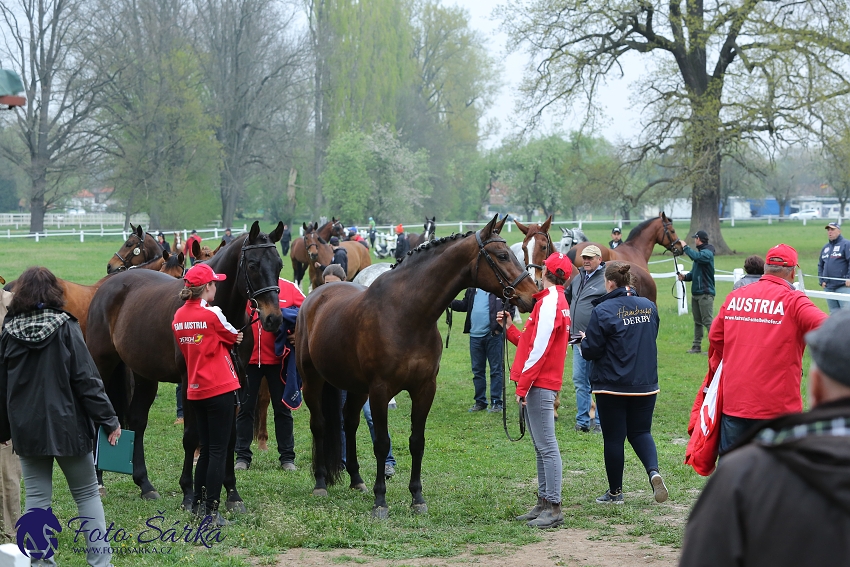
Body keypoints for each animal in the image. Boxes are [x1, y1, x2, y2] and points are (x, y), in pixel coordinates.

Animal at [86, 222, 284, 510]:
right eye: (253, 265)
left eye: (279, 265)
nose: (273, 319)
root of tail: (108, 285)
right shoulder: (191, 381)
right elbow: (192, 436)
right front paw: (189, 494)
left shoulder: (237, 382)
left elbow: (229, 436)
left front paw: (232, 494)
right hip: (103, 365)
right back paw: (98, 481)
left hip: (144, 375)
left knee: (137, 420)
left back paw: (145, 484)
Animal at [296, 214, 536, 520]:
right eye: (503, 255)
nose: (533, 296)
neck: (406, 315)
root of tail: (316, 296)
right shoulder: (380, 390)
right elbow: (381, 443)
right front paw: (380, 501)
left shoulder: (424, 388)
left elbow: (417, 442)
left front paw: (417, 498)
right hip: (313, 380)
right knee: (319, 424)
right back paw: (320, 483)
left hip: (356, 388)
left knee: (349, 423)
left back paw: (357, 480)